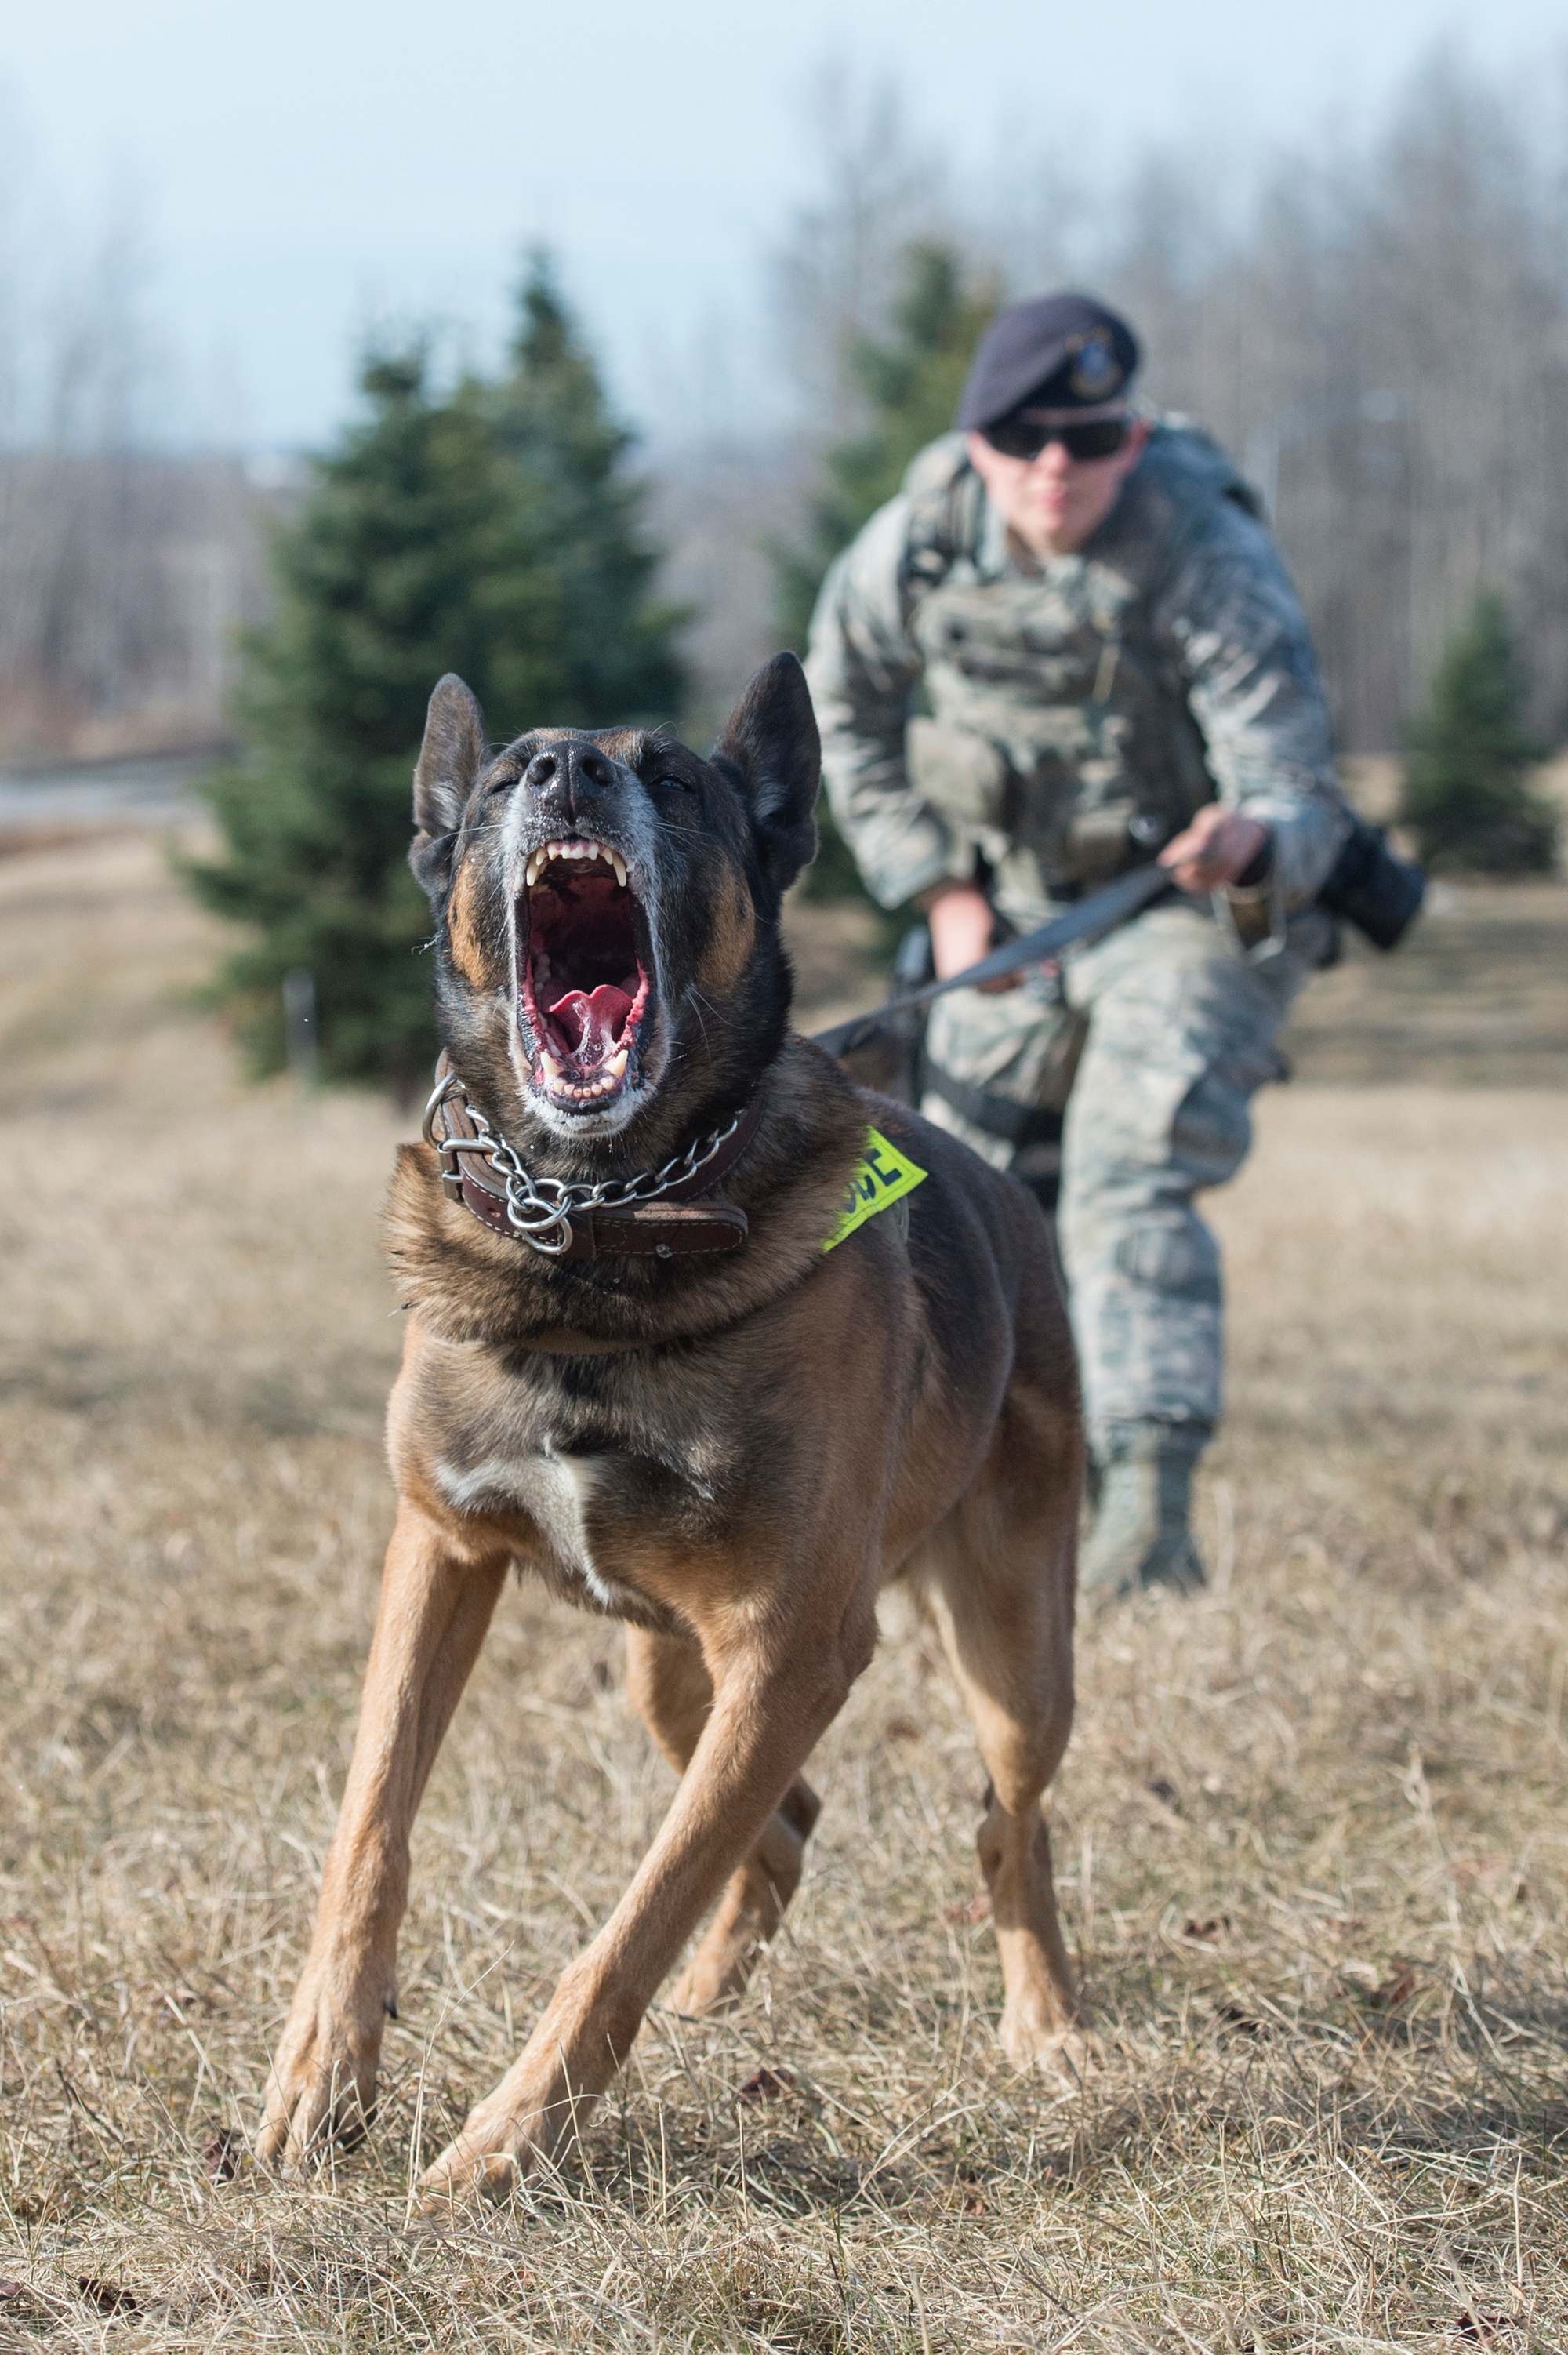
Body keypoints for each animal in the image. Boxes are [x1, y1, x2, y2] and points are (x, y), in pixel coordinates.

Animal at [259, 654, 1087, 2194]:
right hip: (670, 1674)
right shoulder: (438, 1555)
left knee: (1008, 1822)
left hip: (1011, 1661)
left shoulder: (794, 1646)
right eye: (507, 770)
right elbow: (371, 1831)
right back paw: (717, 1995)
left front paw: (507, 2140)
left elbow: (627, 1924)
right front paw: (320, 2072)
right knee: (786, 1825)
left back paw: (1047, 2022)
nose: (569, 771)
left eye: (678, 779)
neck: (596, 1232)